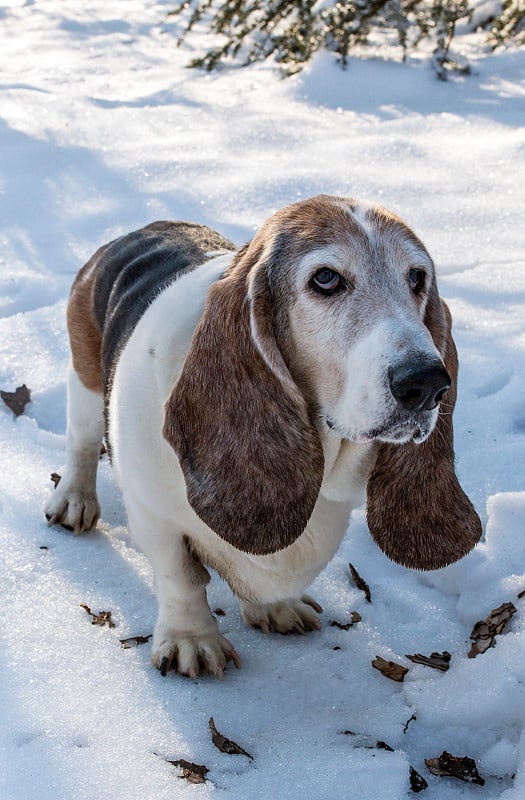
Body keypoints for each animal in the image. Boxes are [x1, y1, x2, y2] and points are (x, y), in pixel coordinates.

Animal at [45, 194, 478, 676]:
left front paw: (275, 607)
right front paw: (192, 640)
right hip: (84, 386)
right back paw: (74, 500)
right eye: (325, 278)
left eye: (417, 278)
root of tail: (139, 231)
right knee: (81, 446)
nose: (427, 383)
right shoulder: (154, 515)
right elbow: (181, 576)